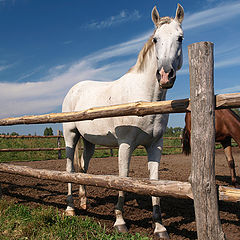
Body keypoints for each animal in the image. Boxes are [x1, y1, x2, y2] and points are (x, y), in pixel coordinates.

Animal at [62, 3, 184, 238]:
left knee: (83, 168)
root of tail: (74, 89)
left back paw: (84, 202)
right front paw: (119, 222)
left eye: (180, 38)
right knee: (70, 169)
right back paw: (71, 208)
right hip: (71, 136)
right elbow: (123, 179)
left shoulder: (155, 146)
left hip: (88, 141)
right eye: (156, 39)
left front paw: (159, 226)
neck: (145, 101)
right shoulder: (125, 145)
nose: (165, 75)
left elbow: (154, 183)